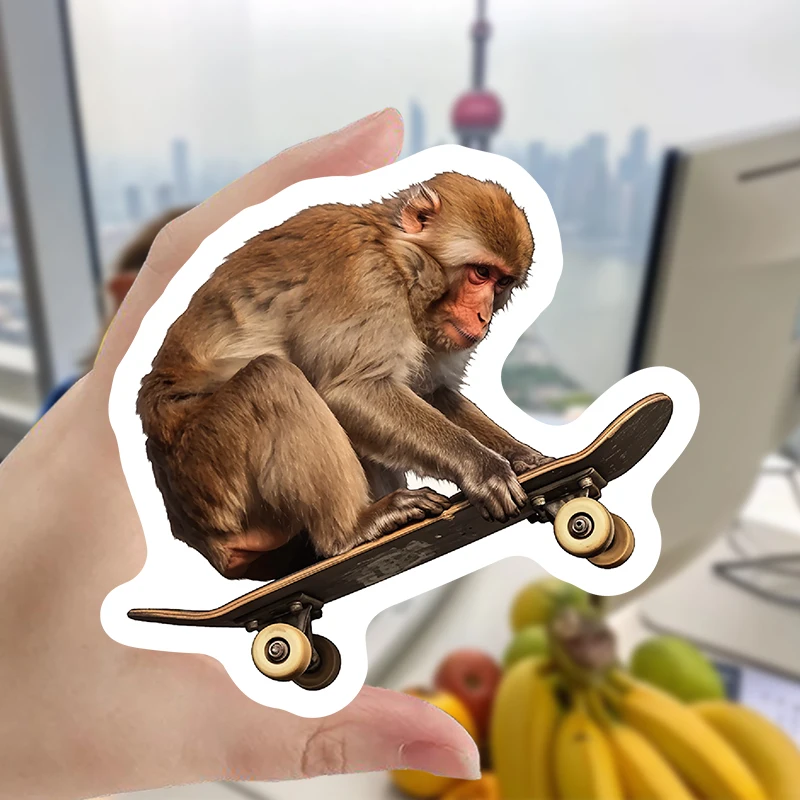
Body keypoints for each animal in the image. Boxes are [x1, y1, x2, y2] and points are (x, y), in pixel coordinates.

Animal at [136, 172, 553, 581]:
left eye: (502, 282)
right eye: (481, 272)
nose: (483, 317)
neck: (398, 257)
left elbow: (431, 393)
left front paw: (523, 457)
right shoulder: (366, 281)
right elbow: (351, 391)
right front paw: (482, 468)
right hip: (209, 471)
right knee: (273, 379)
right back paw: (350, 530)